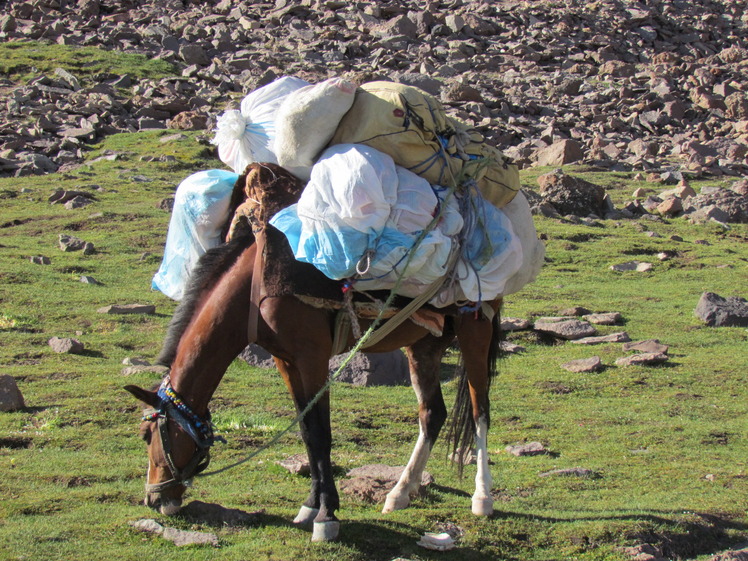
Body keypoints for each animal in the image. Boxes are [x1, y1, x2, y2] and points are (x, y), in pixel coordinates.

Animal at [125, 164, 508, 540]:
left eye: (147, 435)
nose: (153, 499)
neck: (253, 289)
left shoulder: (313, 358)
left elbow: (322, 434)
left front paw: (327, 516)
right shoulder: (285, 361)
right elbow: (308, 432)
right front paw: (311, 505)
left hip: (475, 331)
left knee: (480, 410)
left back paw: (482, 498)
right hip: (424, 342)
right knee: (432, 413)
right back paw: (400, 492)